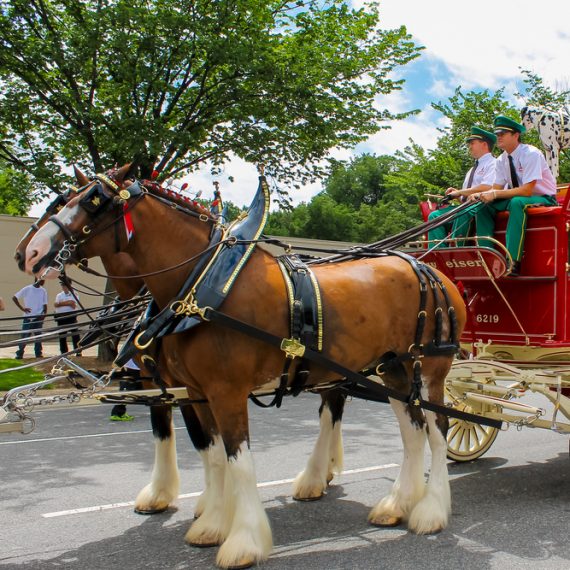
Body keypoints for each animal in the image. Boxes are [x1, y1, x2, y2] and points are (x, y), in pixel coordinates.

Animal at [23, 164, 466, 568]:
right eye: (66, 197)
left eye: (94, 201)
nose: (28, 253)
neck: (202, 288)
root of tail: (429, 270)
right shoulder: (196, 392)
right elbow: (215, 455)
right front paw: (211, 522)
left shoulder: (226, 391)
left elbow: (239, 461)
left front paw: (243, 540)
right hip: (391, 370)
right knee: (411, 432)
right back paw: (396, 503)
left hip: (429, 369)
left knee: (439, 430)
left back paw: (430, 510)